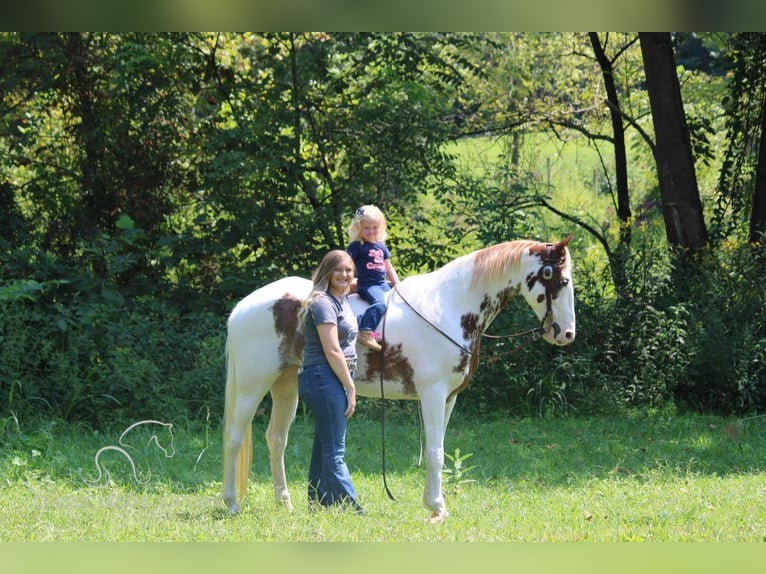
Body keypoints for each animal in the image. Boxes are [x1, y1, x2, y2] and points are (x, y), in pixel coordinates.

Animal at [222, 235, 576, 528]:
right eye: (561, 280)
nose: (566, 334)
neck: (450, 306)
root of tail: (242, 307)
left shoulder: (449, 398)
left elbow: (437, 447)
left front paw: (433, 505)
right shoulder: (432, 395)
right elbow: (434, 451)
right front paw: (437, 508)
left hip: (286, 385)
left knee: (276, 439)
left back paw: (285, 503)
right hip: (254, 385)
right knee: (235, 437)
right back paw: (231, 503)